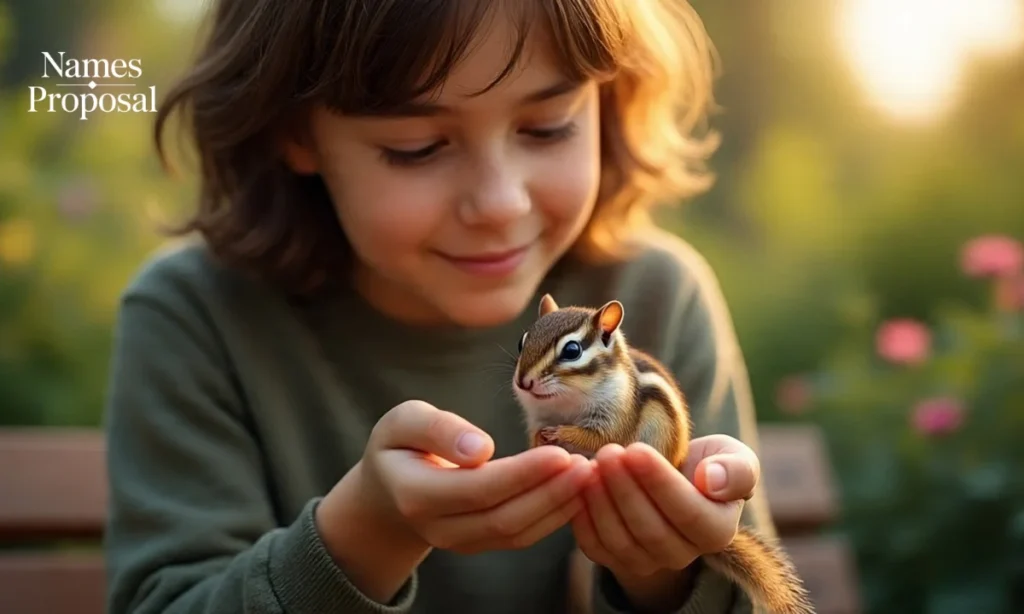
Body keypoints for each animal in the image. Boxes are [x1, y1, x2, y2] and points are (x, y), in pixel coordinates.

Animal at [511, 293, 814, 614]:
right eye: (522, 341)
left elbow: (601, 438)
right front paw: (539, 441)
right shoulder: (538, 416)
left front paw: (562, 434)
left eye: (572, 350)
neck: (565, 402)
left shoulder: (615, 415)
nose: (523, 382)